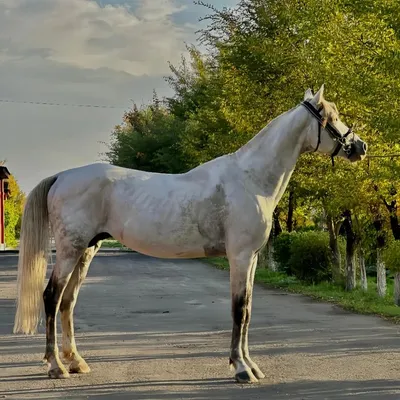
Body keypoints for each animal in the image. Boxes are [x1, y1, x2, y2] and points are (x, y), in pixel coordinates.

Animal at [14, 85, 368, 384]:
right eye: (332, 117)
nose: (360, 147)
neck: (250, 179)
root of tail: (62, 176)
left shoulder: (252, 259)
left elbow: (248, 310)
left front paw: (251, 365)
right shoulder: (239, 257)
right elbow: (239, 308)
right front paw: (241, 369)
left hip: (87, 250)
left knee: (68, 301)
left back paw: (76, 361)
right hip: (70, 250)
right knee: (51, 297)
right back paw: (56, 366)